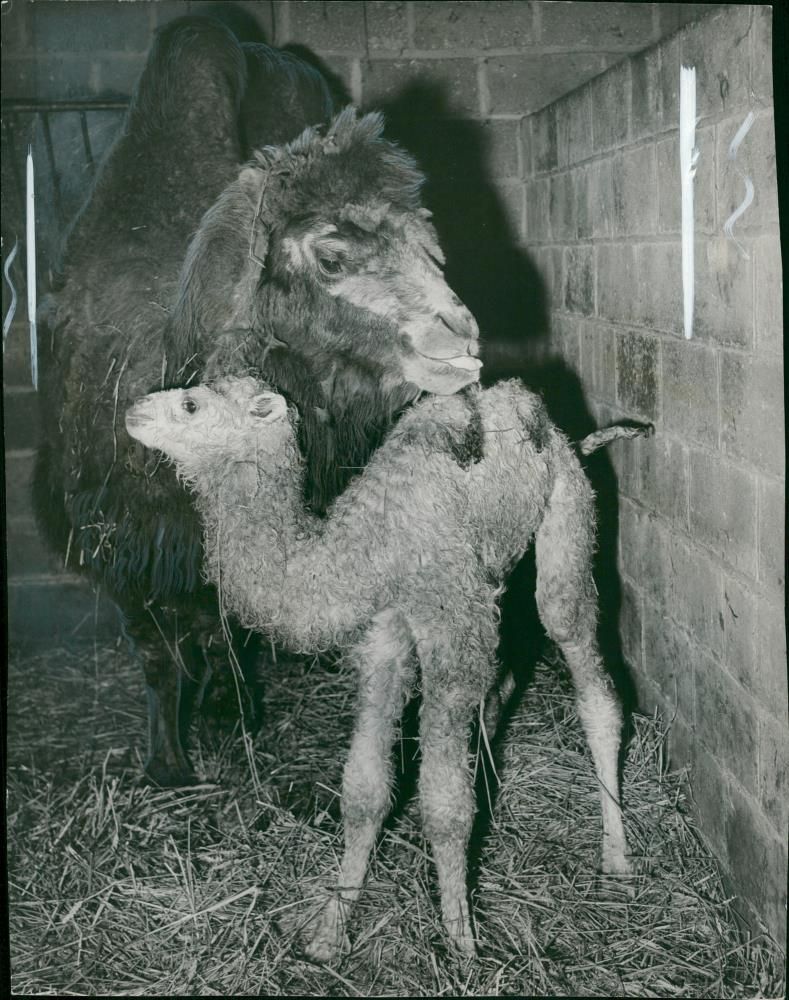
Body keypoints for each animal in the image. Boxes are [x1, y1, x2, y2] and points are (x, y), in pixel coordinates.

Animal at [126, 376, 648, 960]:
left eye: (191, 404)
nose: (133, 411)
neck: (368, 550)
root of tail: (561, 436)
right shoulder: (384, 635)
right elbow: (365, 789)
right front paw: (328, 932)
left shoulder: (450, 628)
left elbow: (444, 803)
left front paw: (462, 940)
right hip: (499, 570)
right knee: (502, 681)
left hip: (567, 513)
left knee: (587, 672)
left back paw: (617, 862)